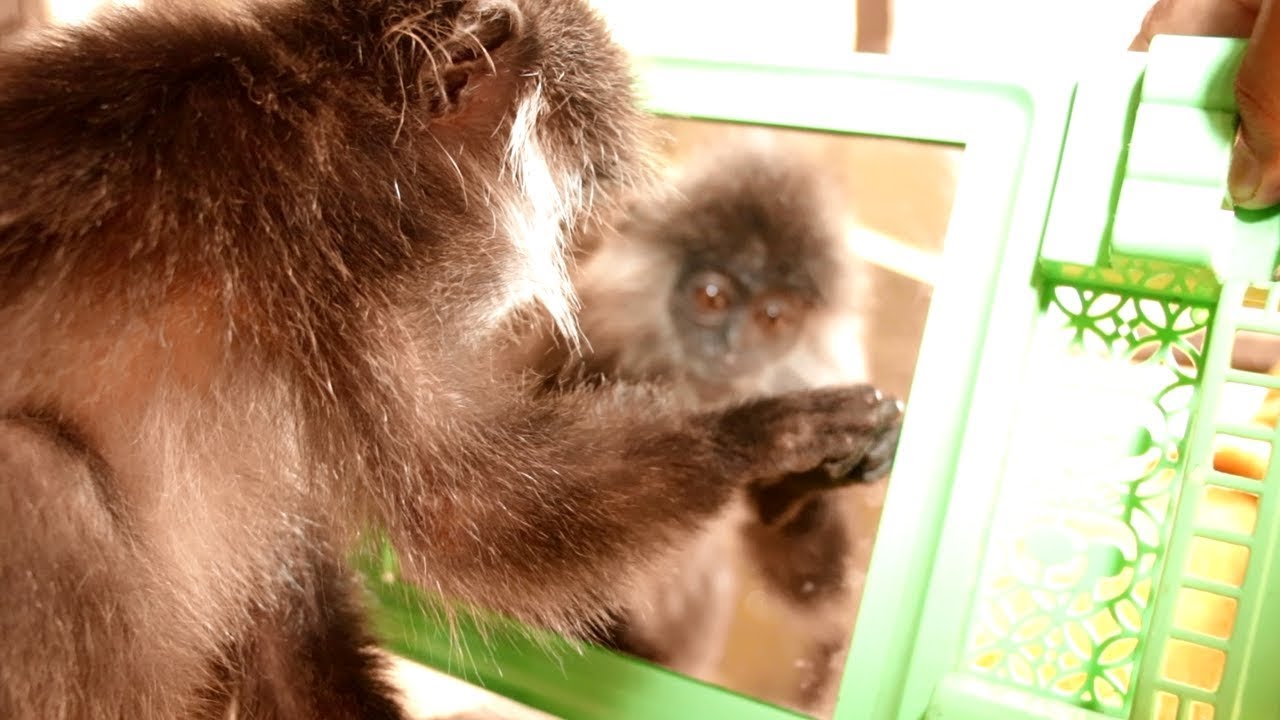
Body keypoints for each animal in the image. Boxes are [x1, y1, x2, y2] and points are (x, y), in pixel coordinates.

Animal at [522, 136, 893, 715]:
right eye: (711, 297)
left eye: (773, 317)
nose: (730, 345)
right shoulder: (575, 344)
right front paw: (773, 433)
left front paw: (814, 475)